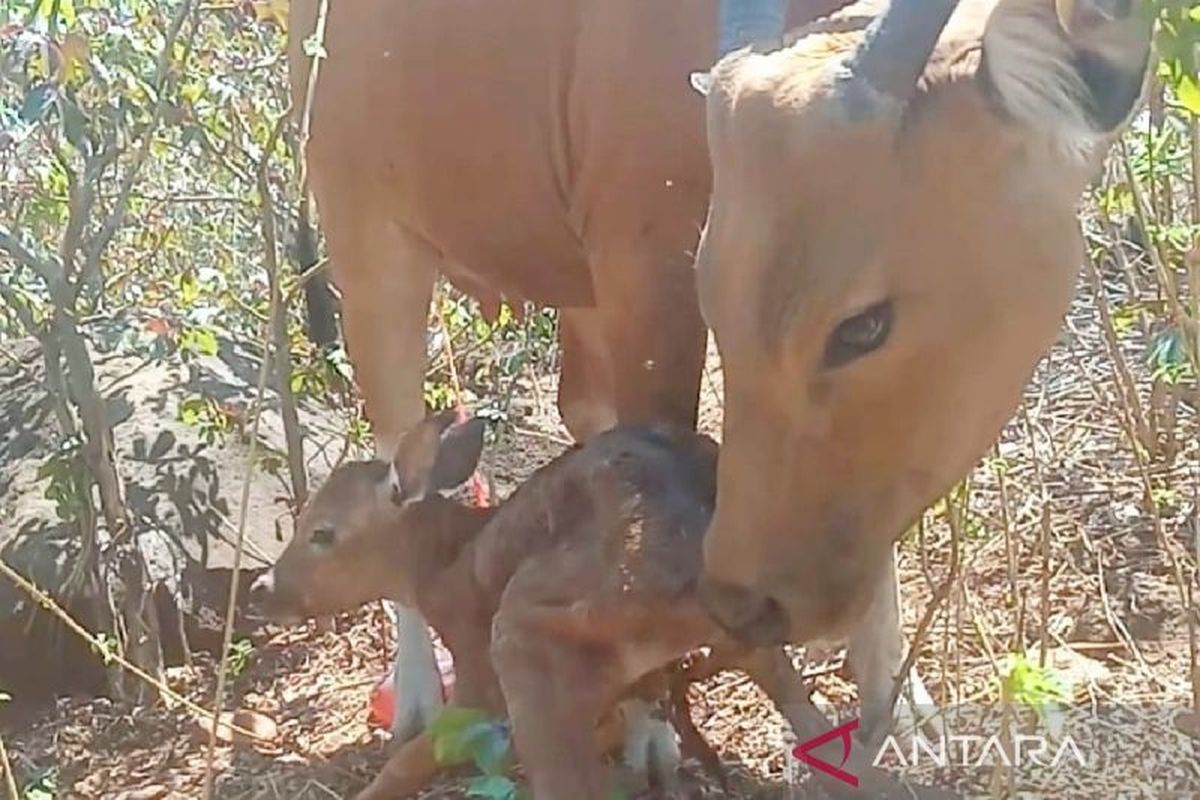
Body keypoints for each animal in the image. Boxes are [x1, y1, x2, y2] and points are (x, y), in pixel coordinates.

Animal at [288, 0, 902, 762]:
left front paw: (899, 700)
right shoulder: (654, 265)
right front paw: (651, 727)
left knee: (579, 405)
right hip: (372, 242)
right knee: (395, 443)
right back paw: (420, 692)